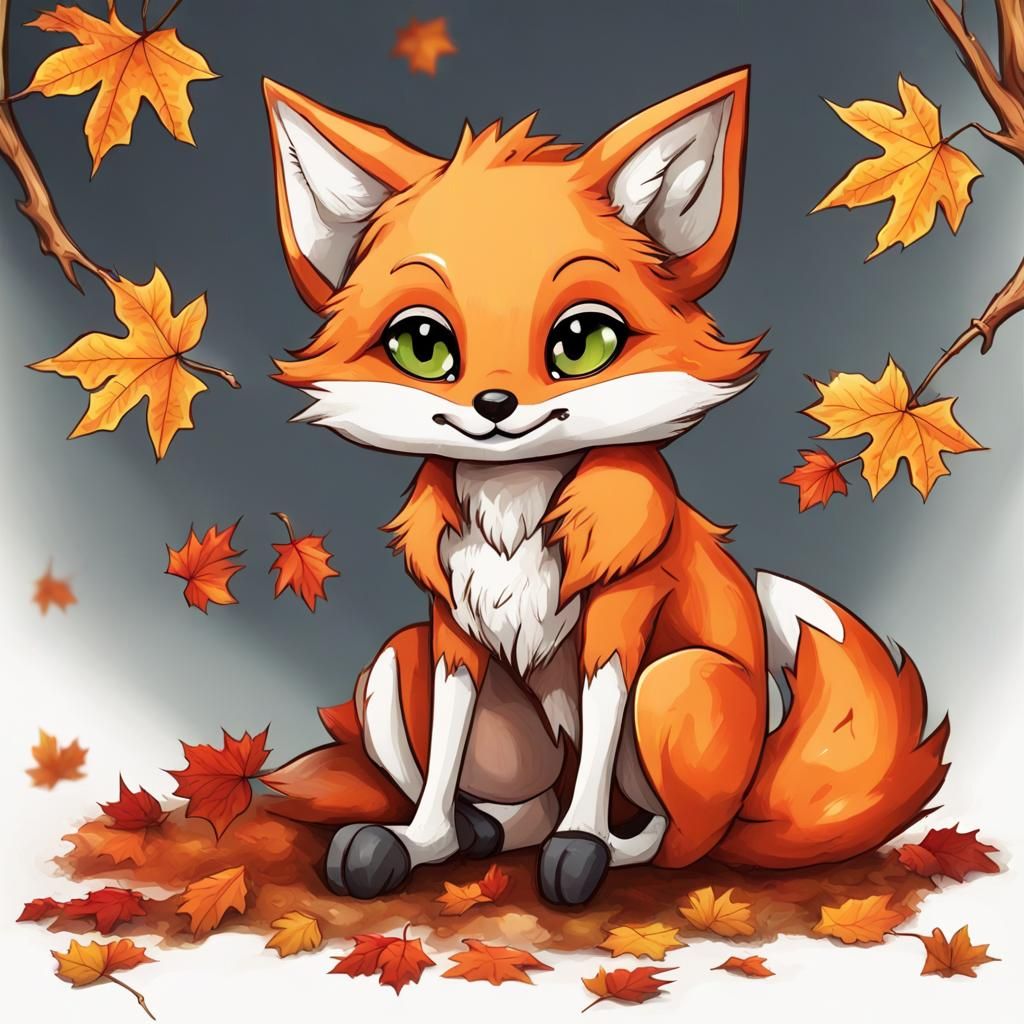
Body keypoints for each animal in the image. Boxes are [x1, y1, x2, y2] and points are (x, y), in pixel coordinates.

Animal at [257, 68, 950, 906]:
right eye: (422, 345)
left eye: (581, 342)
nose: (494, 406)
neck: (513, 509)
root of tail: (751, 798)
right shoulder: (449, 626)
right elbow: (445, 760)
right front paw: (421, 840)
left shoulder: (623, 617)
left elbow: (599, 736)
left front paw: (582, 847)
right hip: (395, 669)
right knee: (525, 809)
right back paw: (479, 835)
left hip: (677, 686)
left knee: (678, 843)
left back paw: (613, 849)